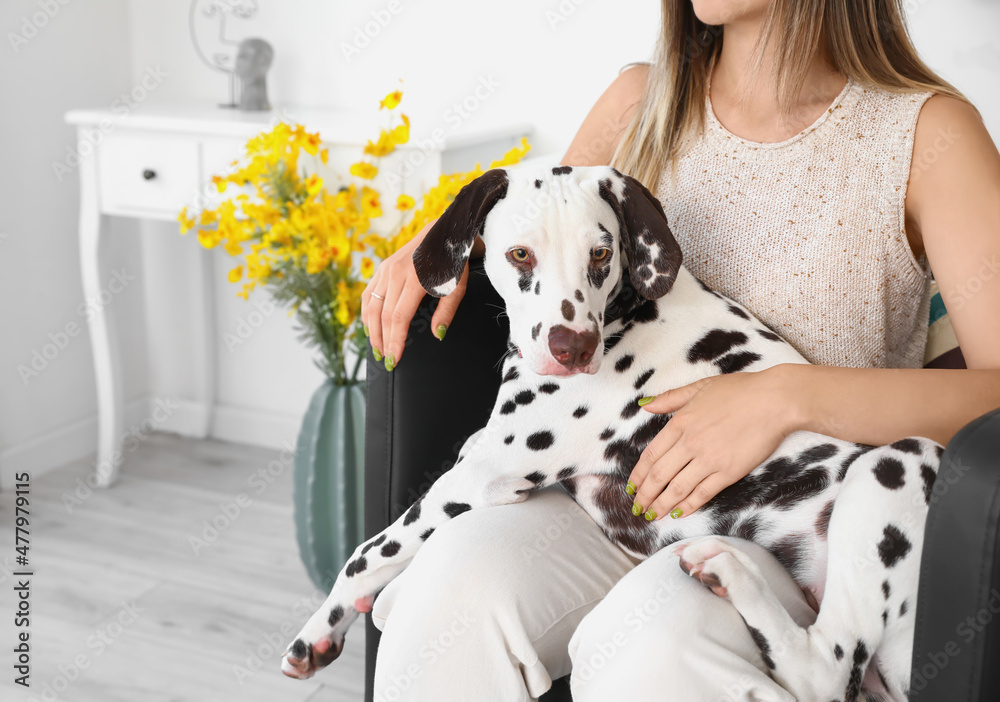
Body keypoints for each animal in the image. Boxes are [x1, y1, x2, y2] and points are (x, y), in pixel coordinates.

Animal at [282, 166, 936, 702]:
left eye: (601, 253)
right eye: (520, 254)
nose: (572, 347)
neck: (630, 315)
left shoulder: (479, 477)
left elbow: (366, 553)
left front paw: (315, 633)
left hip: (898, 464)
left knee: (825, 671)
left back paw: (732, 575)